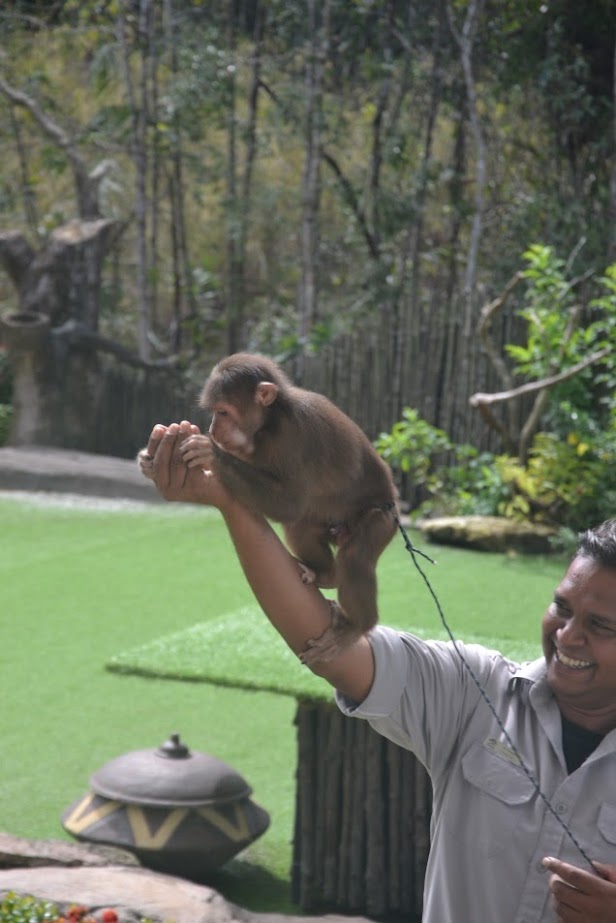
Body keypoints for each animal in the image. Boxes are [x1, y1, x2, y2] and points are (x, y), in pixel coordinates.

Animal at [138, 354, 400, 664]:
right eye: (213, 412)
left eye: (223, 412)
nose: (213, 429)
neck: (270, 421)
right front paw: (149, 460)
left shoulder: (292, 438)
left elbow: (289, 506)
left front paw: (210, 453)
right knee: (302, 527)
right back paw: (326, 573)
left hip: (382, 518)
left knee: (355, 556)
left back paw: (358, 625)